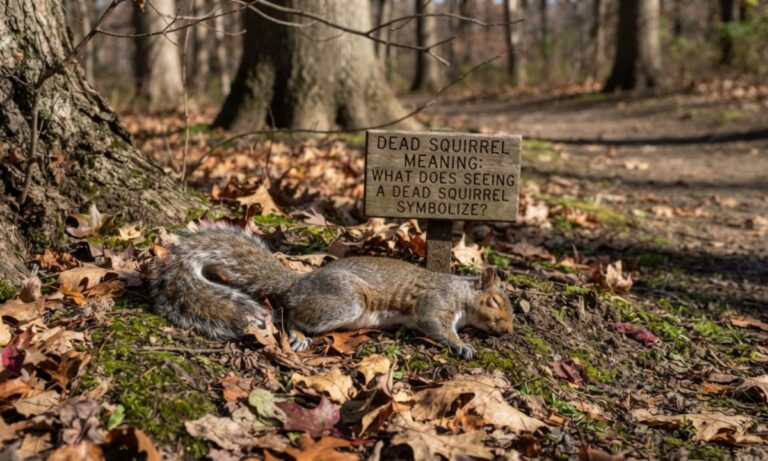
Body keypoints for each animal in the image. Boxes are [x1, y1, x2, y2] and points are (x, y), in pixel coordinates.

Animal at [150, 225, 514, 359]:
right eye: (494, 301)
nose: (509, 330)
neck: (461, 292)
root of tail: (299, 282)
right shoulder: (435, 301)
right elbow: (436, 324)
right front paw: (461, 344)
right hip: (343, 303)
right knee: (290, 312)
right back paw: (296, 335)